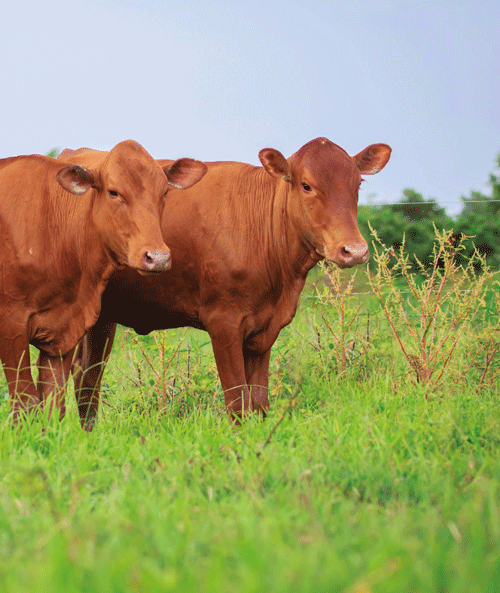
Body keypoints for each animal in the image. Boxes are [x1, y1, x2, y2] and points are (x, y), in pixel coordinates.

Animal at [0, 140, 207, 420]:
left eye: (164, 192)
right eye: (113, 192)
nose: (158, 257)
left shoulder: (62, 334)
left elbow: (54, 404)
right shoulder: (11, 327)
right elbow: (25, 402)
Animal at [54, 136, 390, 428]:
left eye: (358, 184)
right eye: (307, 185)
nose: (353, 250)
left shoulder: (264, 330)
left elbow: (259, 401)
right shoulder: (223, 320)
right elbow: (237, 400)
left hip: (102, 317)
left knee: (86, 376)